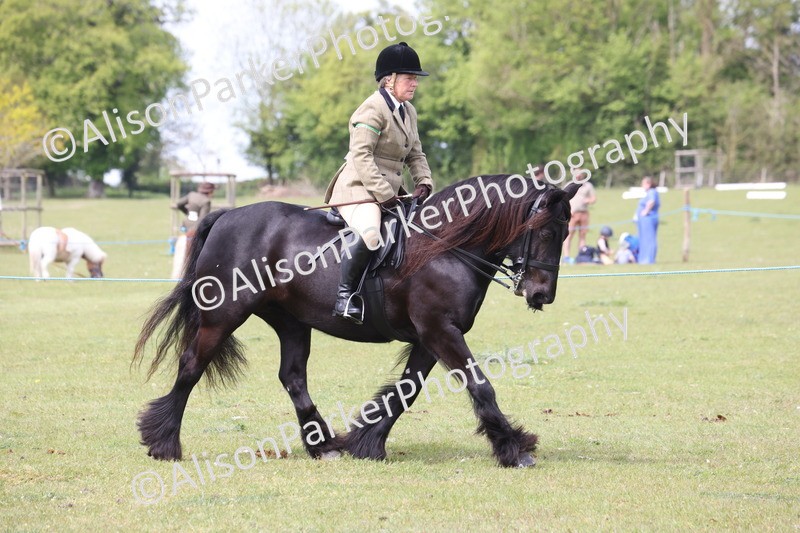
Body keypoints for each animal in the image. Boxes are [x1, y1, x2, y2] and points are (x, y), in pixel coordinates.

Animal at [133, 175, 581, 468]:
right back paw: (164, 443)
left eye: (565, 233)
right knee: (191, 366)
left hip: (292, 322)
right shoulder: (440, 332)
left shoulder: (429, 337)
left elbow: (405, 391)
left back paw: (323, 445)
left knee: (293, 377)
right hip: (223, 316)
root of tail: (226, 217)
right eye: (544, 231)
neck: (446, 246)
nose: (541, 295)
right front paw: (514, 449)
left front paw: (367, 442)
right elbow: (480, 385)